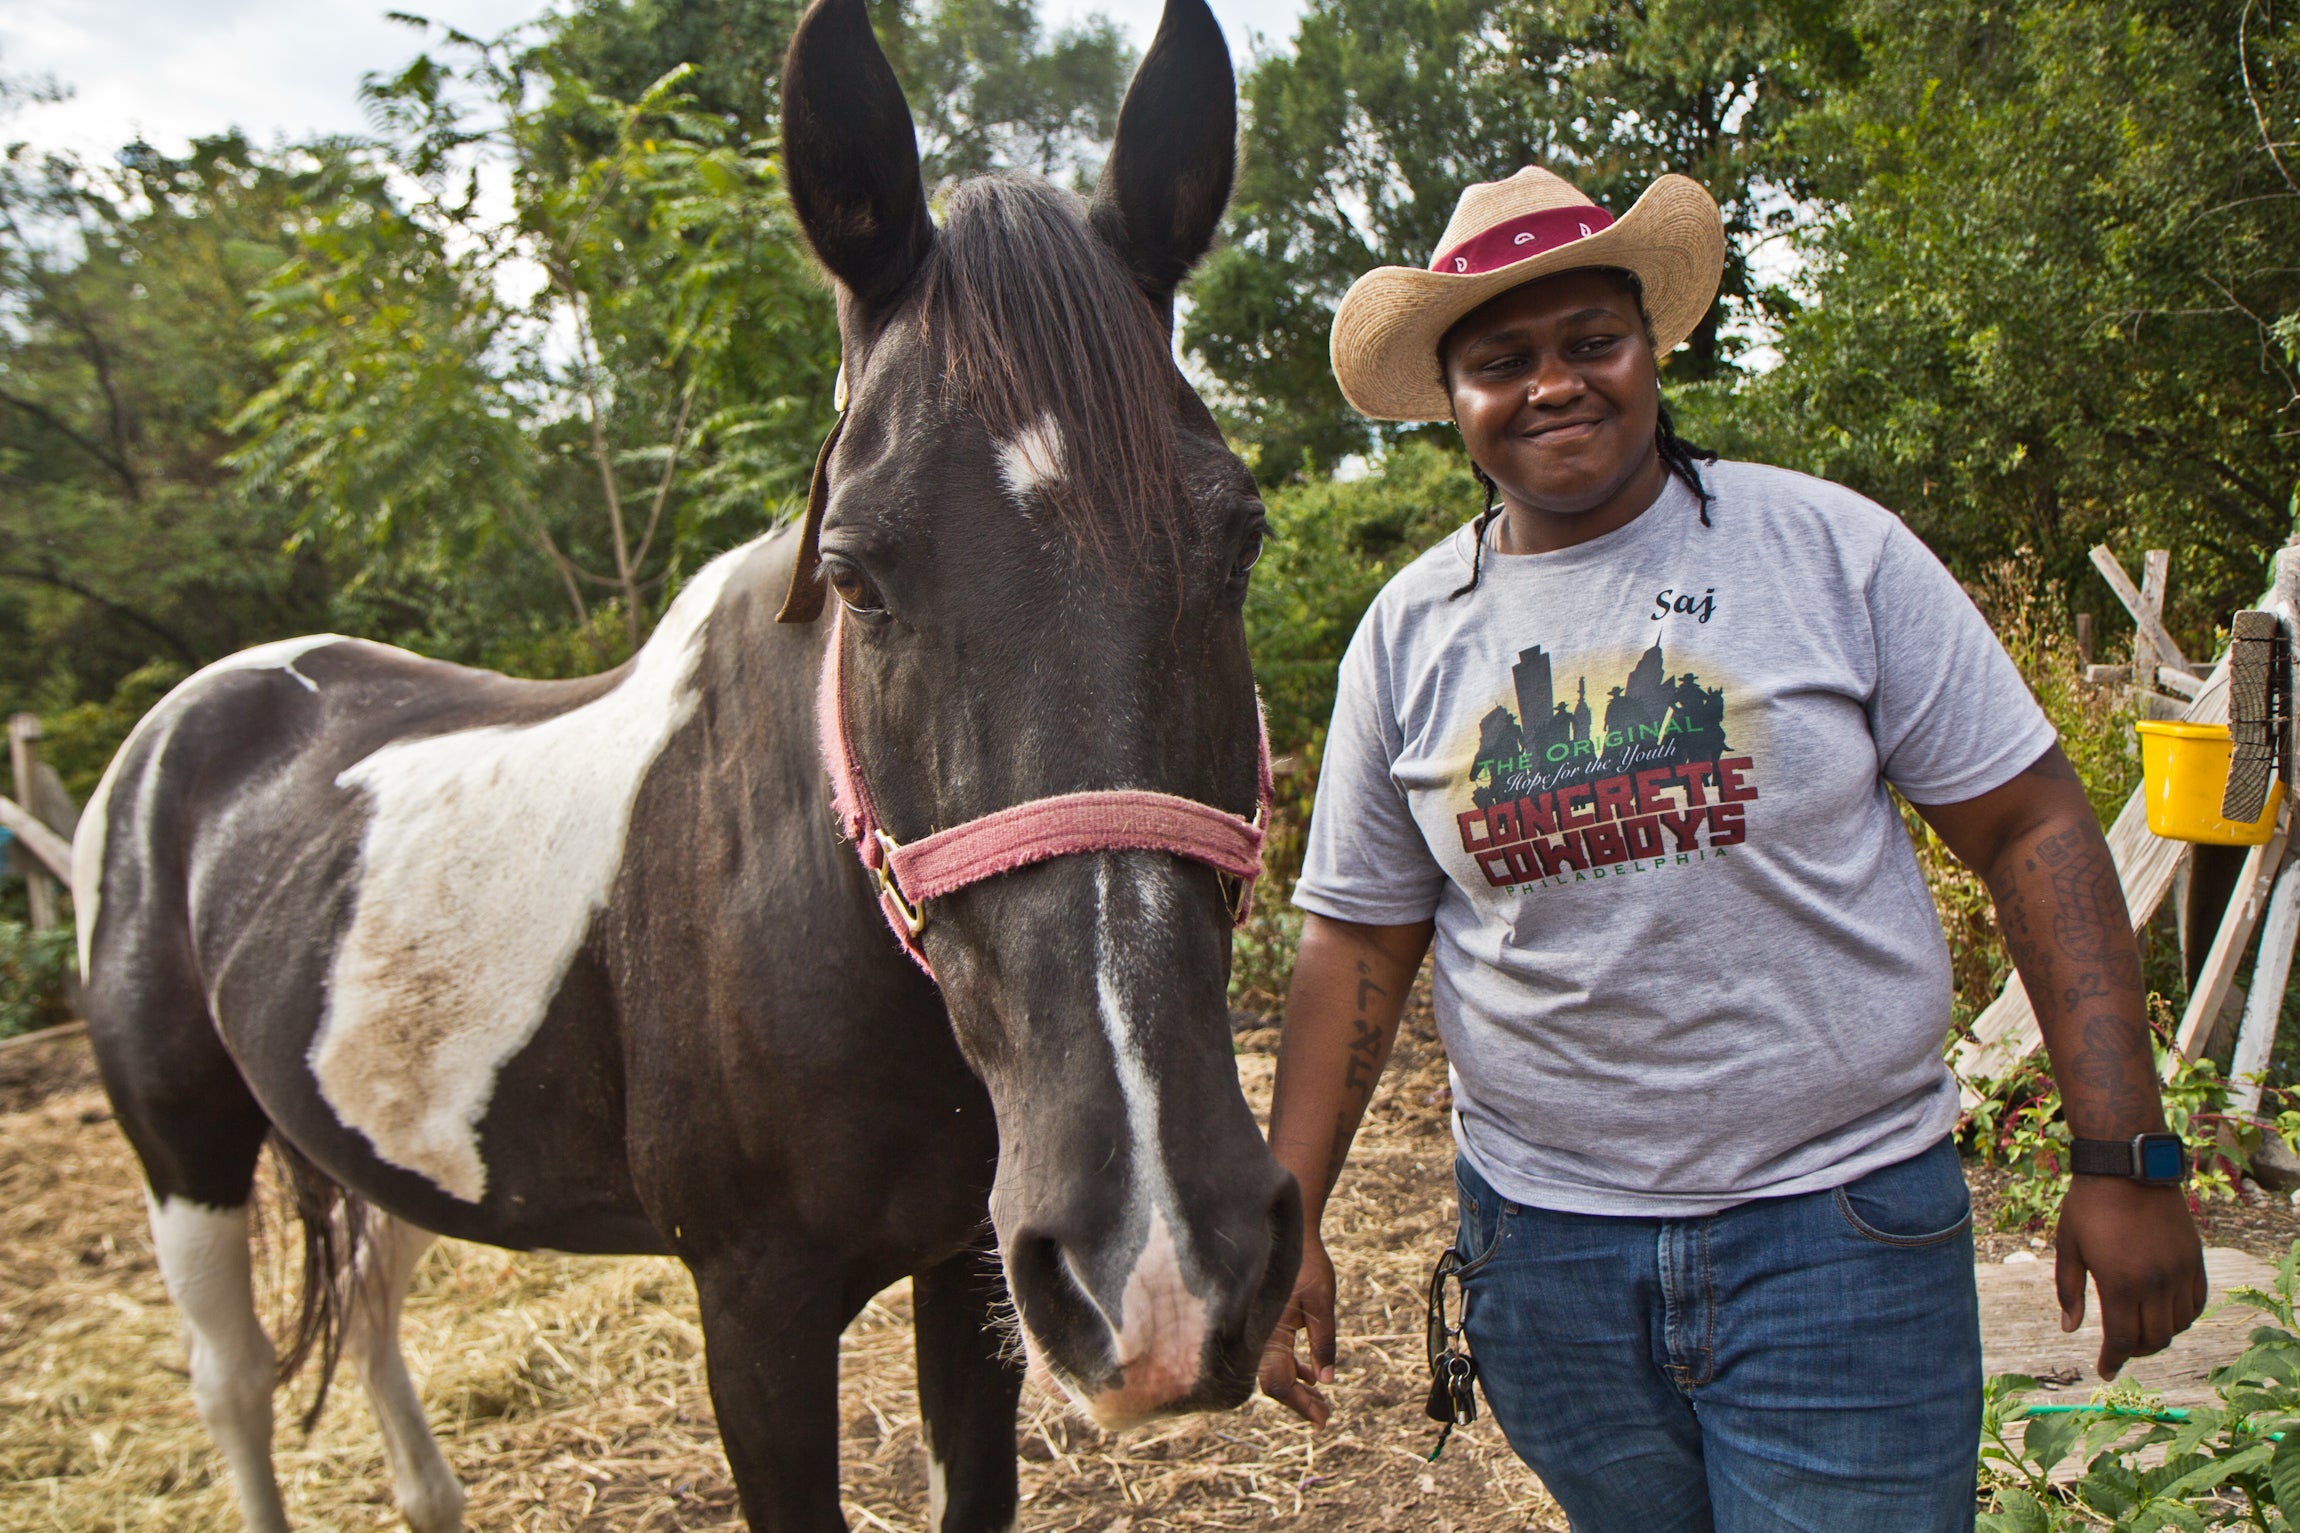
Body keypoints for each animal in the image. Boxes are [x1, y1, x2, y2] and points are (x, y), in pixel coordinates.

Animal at [71, 5, 1306, 1526]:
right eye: (856, 575)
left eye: (1239, 538)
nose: (1167, 1260)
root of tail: (187, 722)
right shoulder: (754, 1312)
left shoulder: (975, 1274)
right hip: (183, 1149)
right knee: (234, 1383)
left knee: (366, 1302)